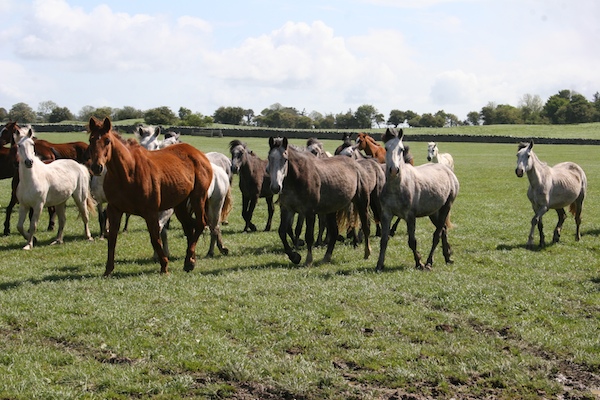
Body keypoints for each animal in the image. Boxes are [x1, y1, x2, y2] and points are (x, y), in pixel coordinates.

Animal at [87, 116, 213, 276]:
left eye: (107, 140)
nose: (97, 167)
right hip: (180, 205)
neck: (127, 172)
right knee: (189, 227)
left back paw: (189, 259)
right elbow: (112, 239)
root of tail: (199, 154)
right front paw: (108, 270)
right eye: (91, 140)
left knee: (200, 223)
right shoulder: (114, 210)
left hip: (198, 197)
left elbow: (155, 238)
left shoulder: (151, 212)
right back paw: (190, 261)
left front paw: (164, 265)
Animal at [380, 128, 460, 272]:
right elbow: (384, 239)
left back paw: (429, 262)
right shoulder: (386, 214)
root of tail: (448, 171)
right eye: (386, 148)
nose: (394, 170)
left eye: (401, 149)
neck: (397, 187)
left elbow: (412, 241)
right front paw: (379, 265)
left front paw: (419, 263)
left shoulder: (410, 216)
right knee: (443, 230)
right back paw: (447, 257)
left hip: (446, 206)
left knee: (437, 234)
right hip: (434, 212)